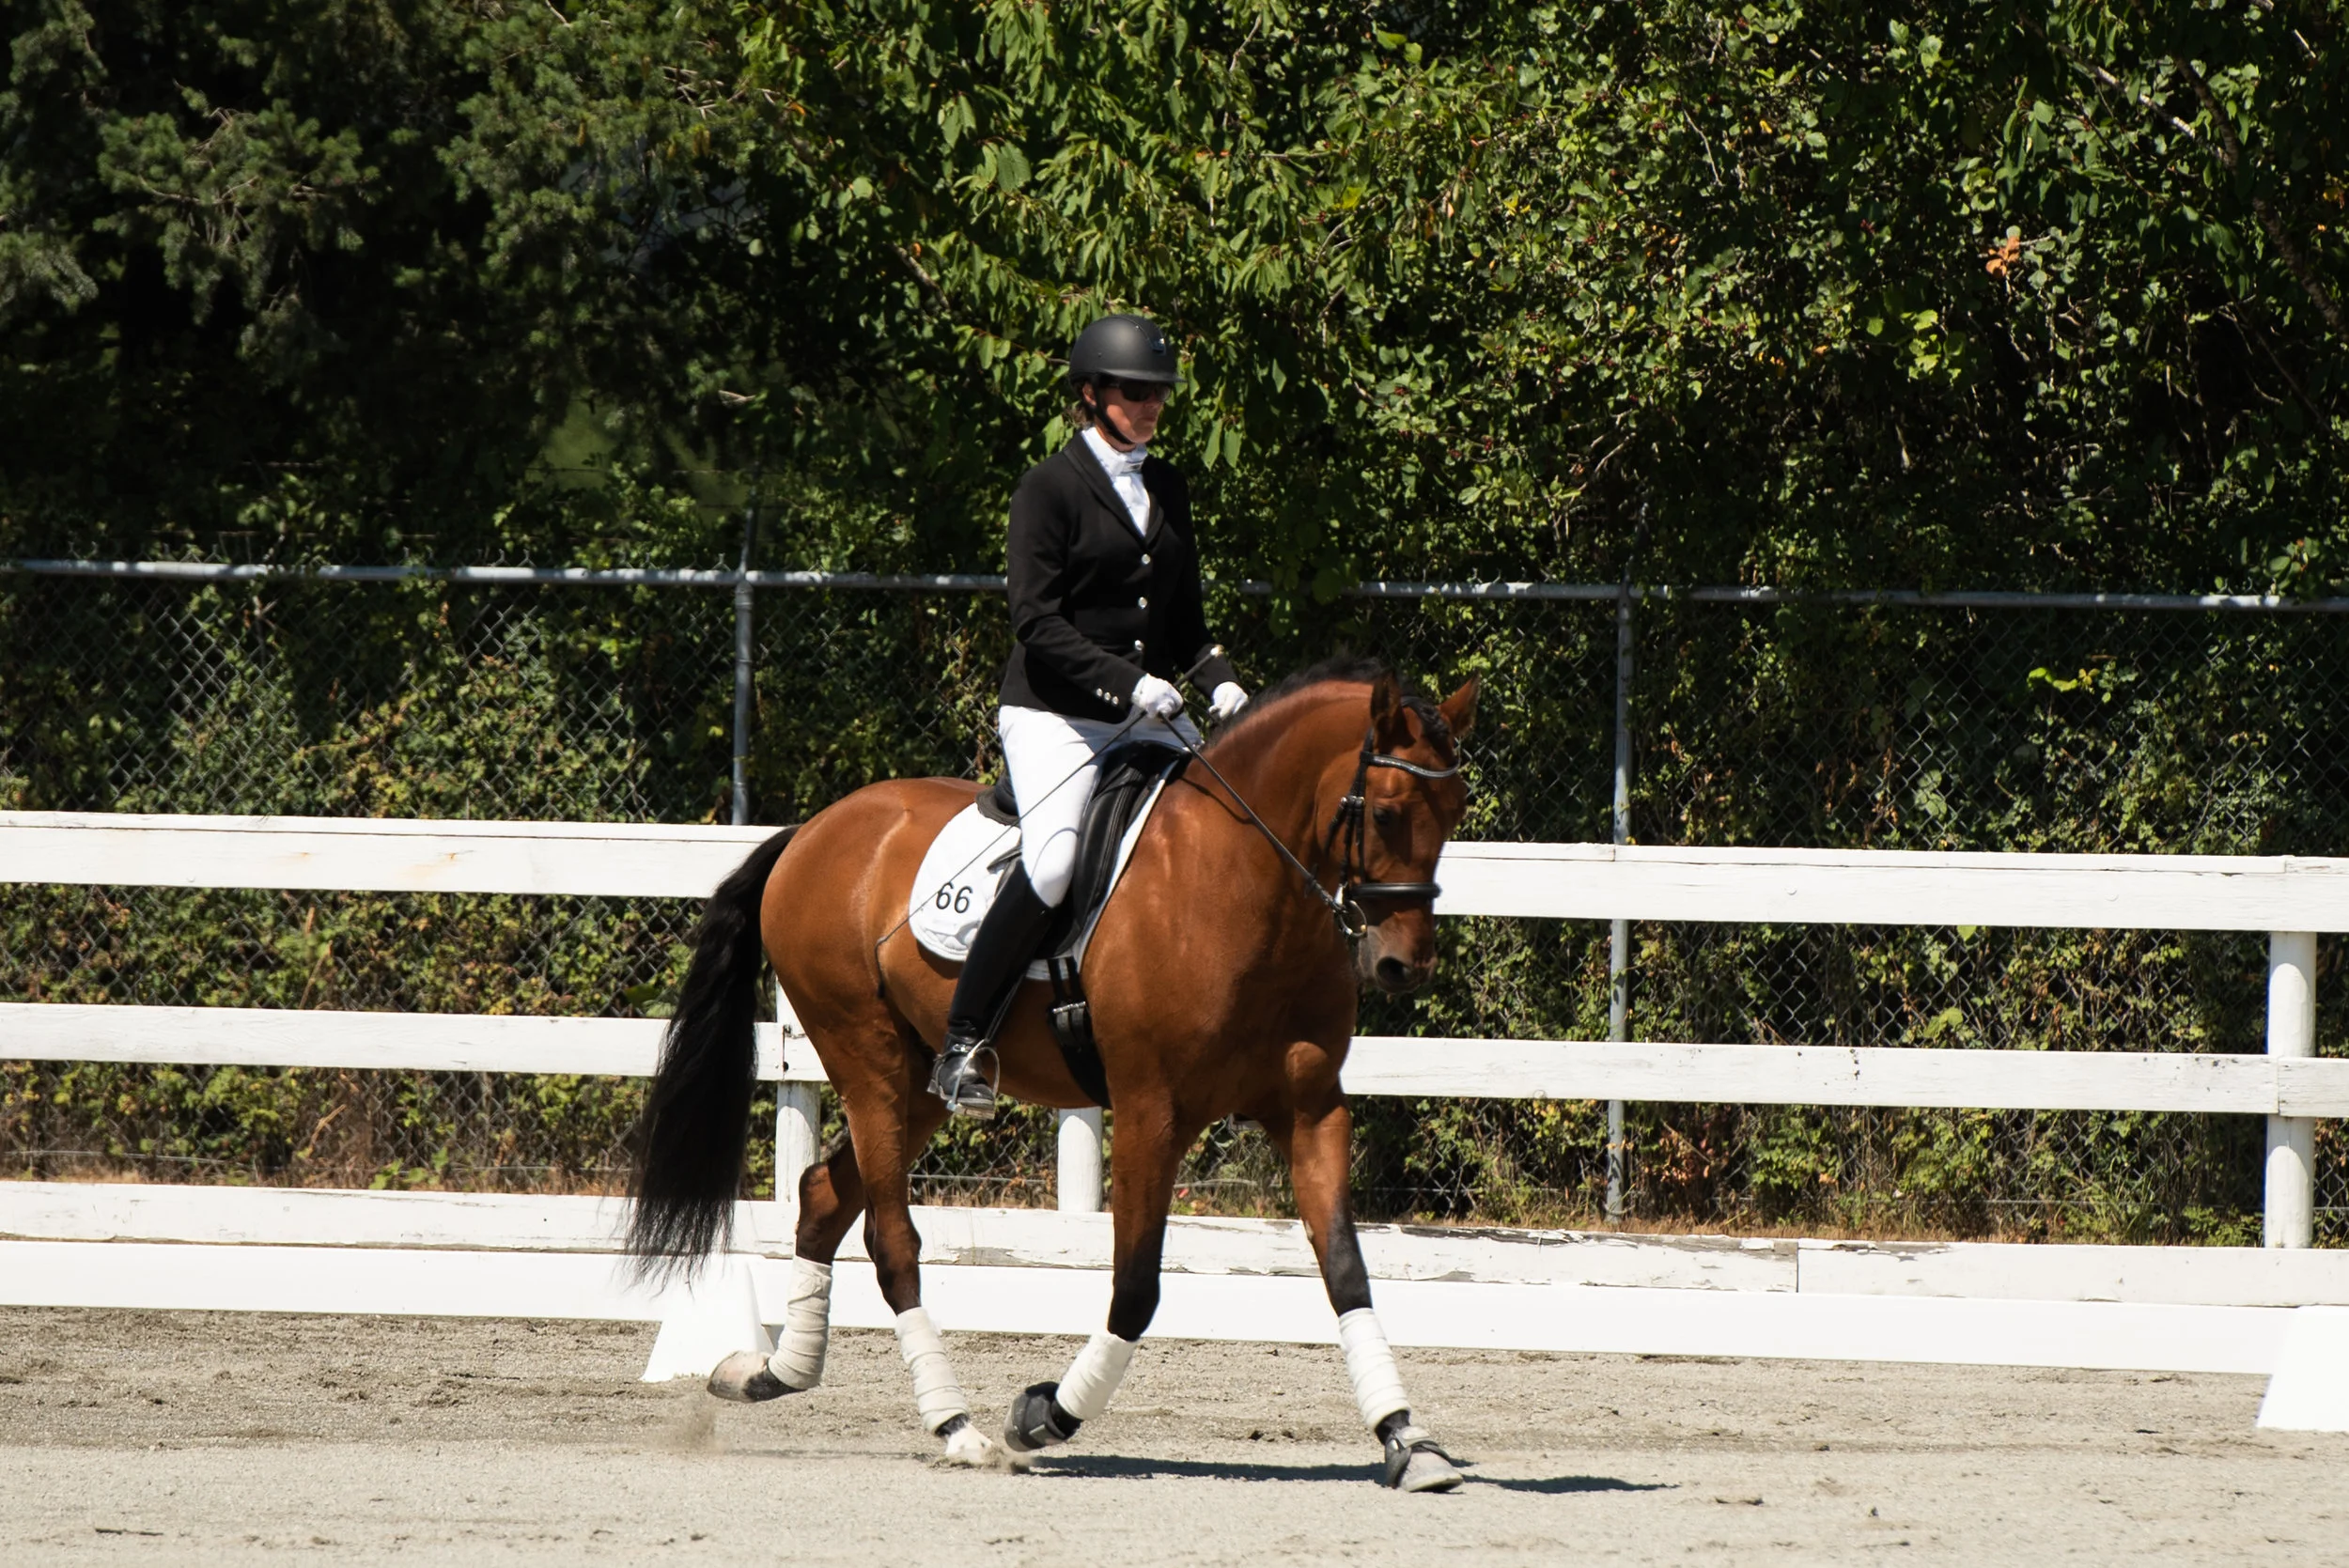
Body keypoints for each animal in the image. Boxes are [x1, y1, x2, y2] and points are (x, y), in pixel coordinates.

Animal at [628, 657, 1477, 1491]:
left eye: (1456, 809)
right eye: (1389, 812)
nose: (1402, 965)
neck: (1239, 880)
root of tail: (813, 829)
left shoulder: (1311, 1109)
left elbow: (1346, 1270)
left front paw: (1408, 1439)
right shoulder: (1150, 1112)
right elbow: (1135, 1287)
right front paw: (1043, 1414)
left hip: (916, 1084)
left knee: (822, 1195)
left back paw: (769, 1371)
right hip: (865, 1057)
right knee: (889, 1237)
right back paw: (956, 1426)